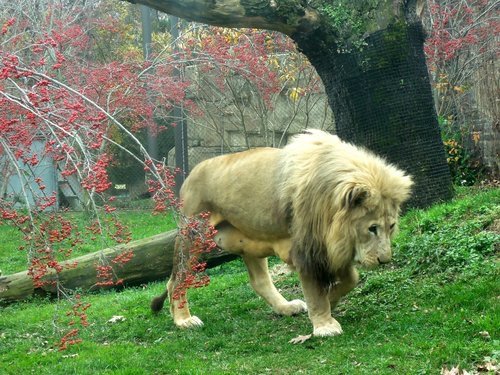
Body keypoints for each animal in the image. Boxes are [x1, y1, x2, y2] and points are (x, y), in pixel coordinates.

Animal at [151, 130, 414, 338]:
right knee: (176, 280)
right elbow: (316, 291)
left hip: (249, 239)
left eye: (391, 226)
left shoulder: (330, 247)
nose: (384, 260)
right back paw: (183, 320)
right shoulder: (307, 247)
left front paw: (331, 299)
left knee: (259, 281)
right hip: (194, 235)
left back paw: (286, 307)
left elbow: (351, 279)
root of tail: (190, 174)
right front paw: (325, 325)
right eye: (372, 228)